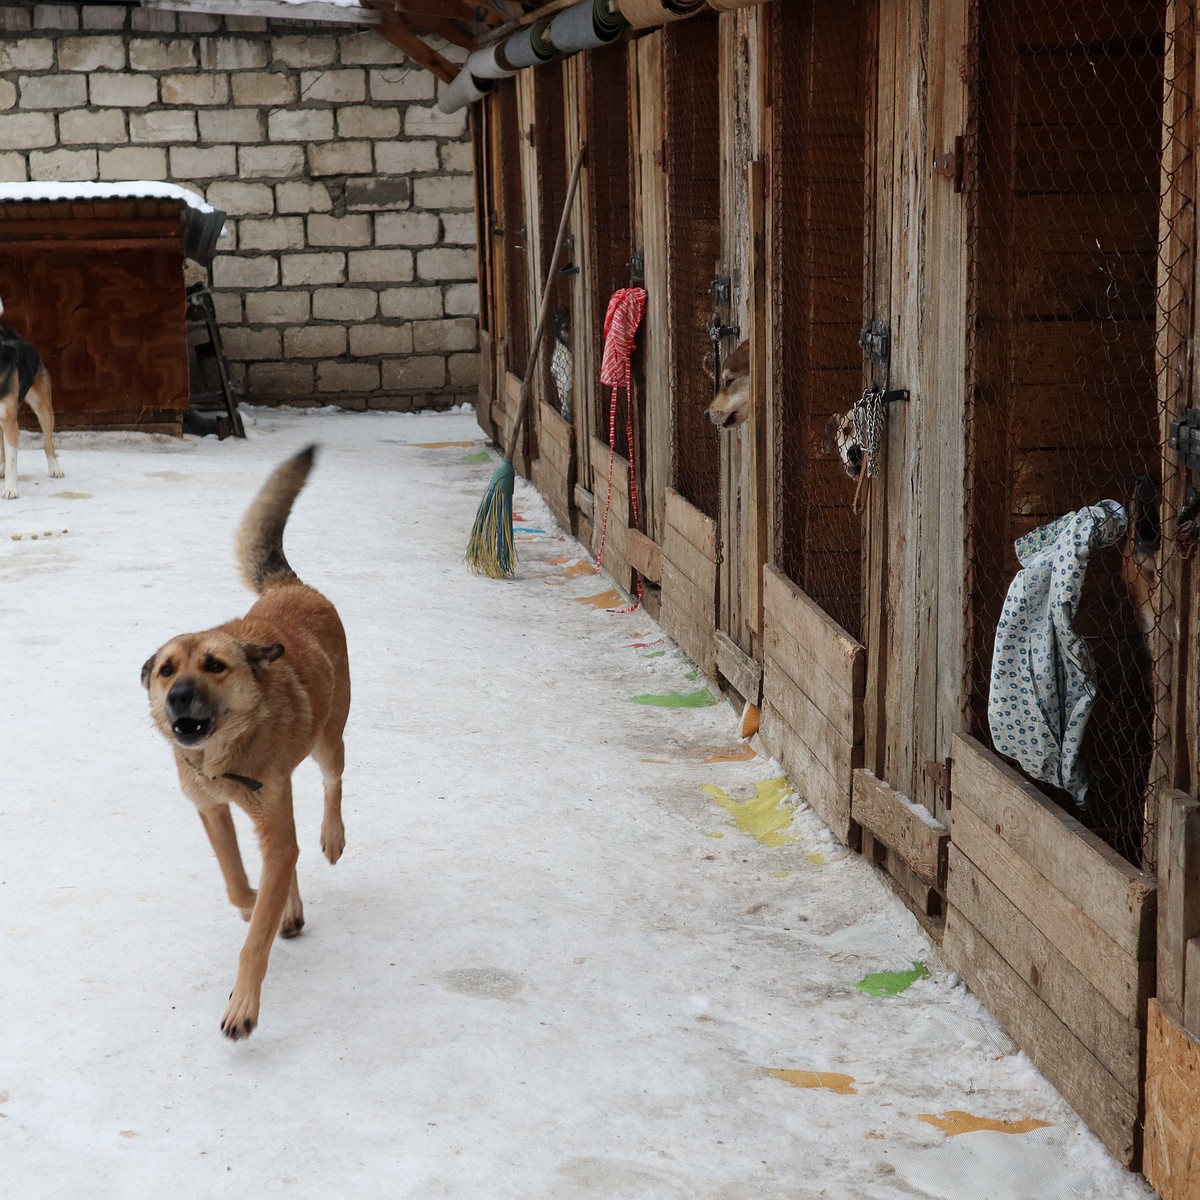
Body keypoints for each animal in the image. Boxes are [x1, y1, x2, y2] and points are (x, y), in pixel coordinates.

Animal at [0, 302, 62, 504]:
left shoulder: (10, 422)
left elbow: (12, 463)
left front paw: (11, 490)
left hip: (44, 410)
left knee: (48, 442)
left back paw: (55, 468)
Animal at [141, 451, 350, 1041]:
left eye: (215, 665)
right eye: (167, 671)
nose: (179, 696)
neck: (226, 756)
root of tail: (291, 586)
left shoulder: (270, 825)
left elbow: (255, 937)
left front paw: (245, 1005)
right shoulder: (212, 810)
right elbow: (238, 886)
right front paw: (260, 902)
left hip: (330, 738)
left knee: (333, 782)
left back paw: (331, 838)